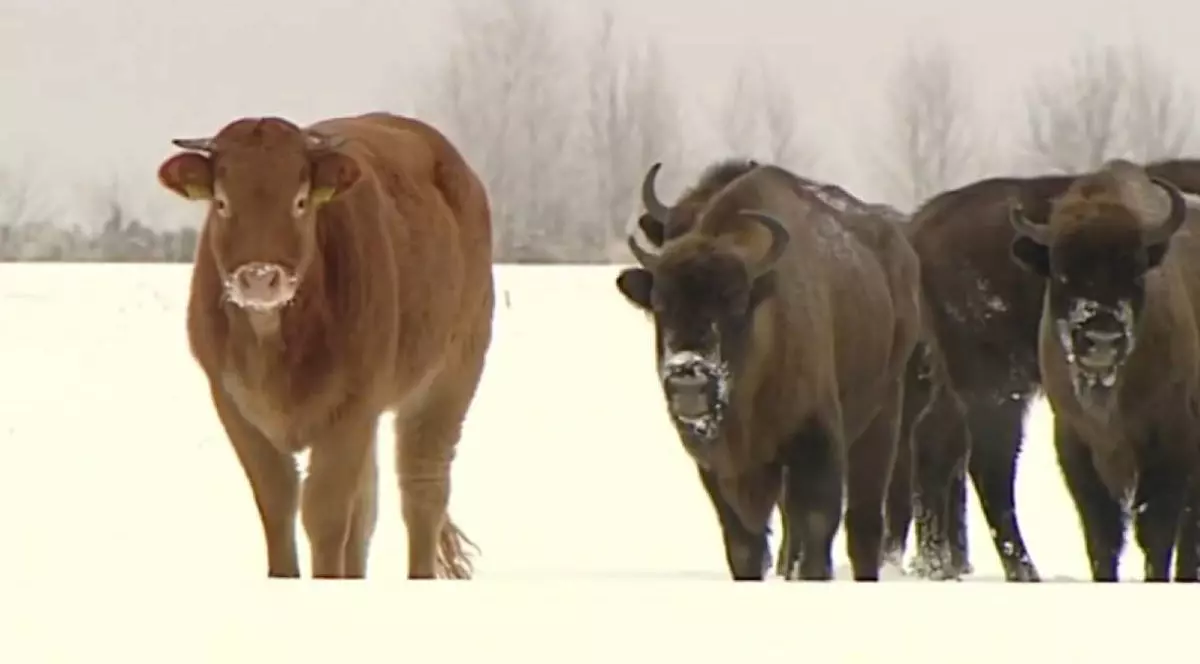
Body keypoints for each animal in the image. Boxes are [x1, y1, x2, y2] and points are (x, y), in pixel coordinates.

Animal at [155, 112, 494, 579]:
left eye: (300, 203)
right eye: (222, 203)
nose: (259, 278)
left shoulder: (352, 407)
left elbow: (325, 513)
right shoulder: (231, 402)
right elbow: (278, 501)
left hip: (452, 373)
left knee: (422, 488)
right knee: (367, 510)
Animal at [616, 159, 922, 580]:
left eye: (735, 303)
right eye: (660, 304)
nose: (688, 379)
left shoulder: (815, 443)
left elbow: (816, 536)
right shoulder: (721, 470)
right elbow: (745, 546)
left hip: (882, 414)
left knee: (863, 525)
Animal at [1007, 164, 1200, 581]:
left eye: (1136, 271)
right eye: (1062, 272)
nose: (1102, 340)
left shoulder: (1171, 441)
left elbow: (1156, 532)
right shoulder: (1075, 442)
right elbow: (1103, 535)